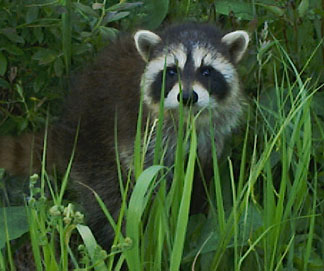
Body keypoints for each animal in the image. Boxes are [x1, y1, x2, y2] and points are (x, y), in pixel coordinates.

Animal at [0, 23, 249, 251]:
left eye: (206, 71)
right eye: (171, 71)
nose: (187, 96)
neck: (186, 118)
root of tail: (66, 127)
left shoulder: (210, 136)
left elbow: (201, 173)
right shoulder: (138, 129)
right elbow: (142, 175)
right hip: (92, 149)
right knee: (108, 198)